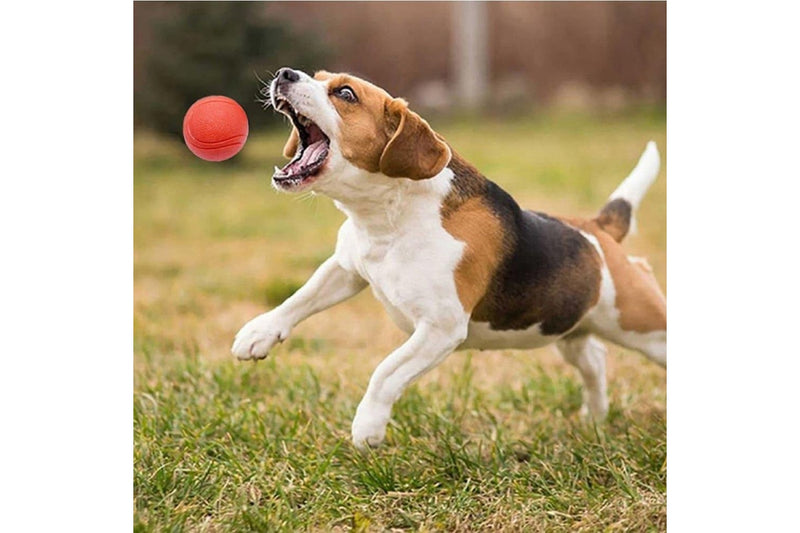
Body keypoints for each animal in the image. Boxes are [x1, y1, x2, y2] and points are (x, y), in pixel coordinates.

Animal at [228, 66, 664, 448]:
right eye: (316, 78)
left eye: (346, 94)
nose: (284, 73)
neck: (388, 215)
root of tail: (598, 230)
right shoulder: (347, 268)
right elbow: (299, 298)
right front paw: (258, 333)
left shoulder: (440, 328)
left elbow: (385, 372)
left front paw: (367, 426)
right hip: (566, 329)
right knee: (595, 358)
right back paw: (595, 418)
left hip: (643, 326)